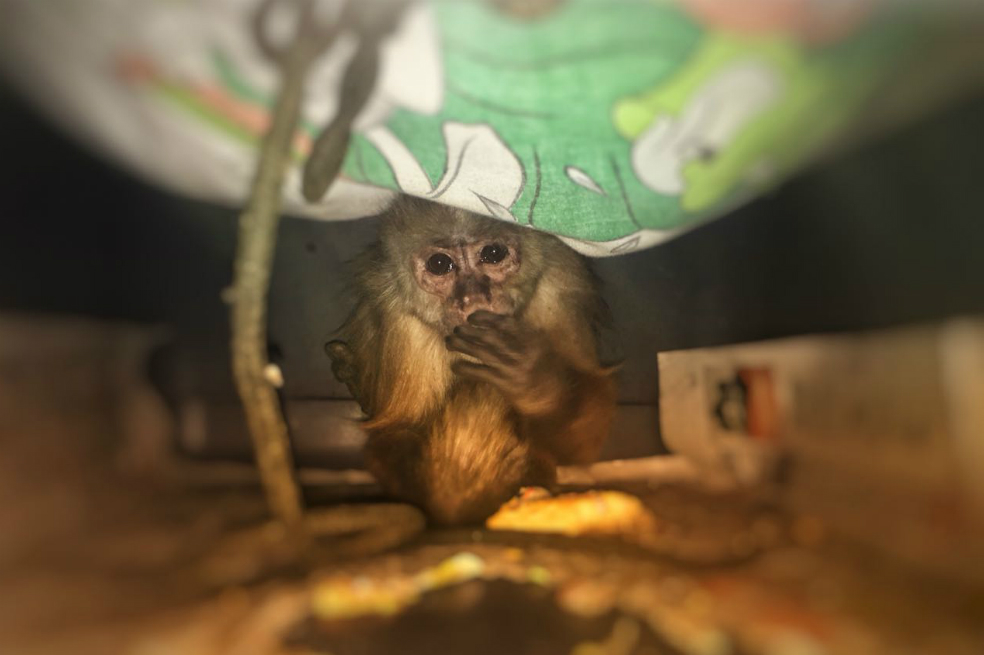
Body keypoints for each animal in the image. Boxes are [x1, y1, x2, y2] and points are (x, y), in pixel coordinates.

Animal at [327, 195, 617, 525]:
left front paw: (536, 385)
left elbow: (581, 447)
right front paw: (456, 495)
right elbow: (395, 432)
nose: (475, 297)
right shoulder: (398, 317)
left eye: (493, 253)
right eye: (440, 264)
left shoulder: (559, 286)